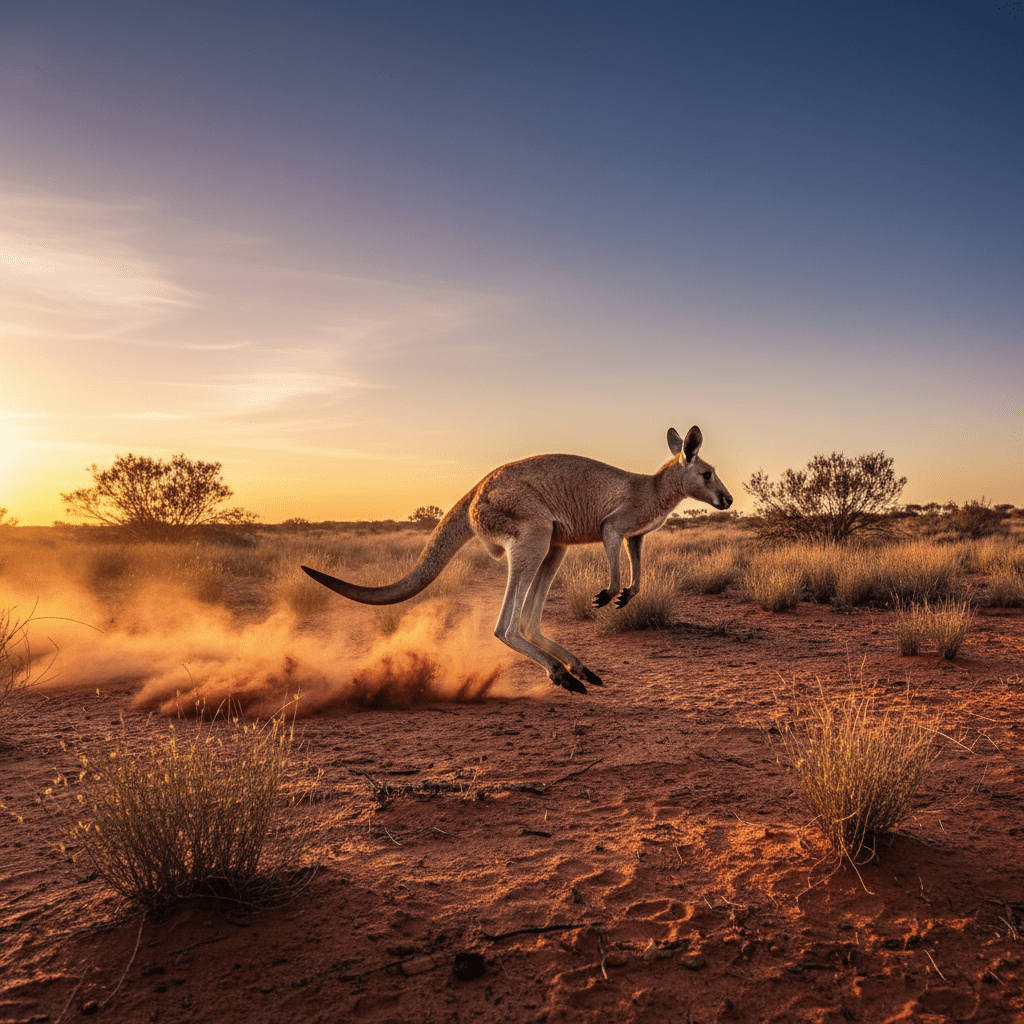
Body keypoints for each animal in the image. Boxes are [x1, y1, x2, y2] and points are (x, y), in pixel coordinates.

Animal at [302, 425, 732, 694]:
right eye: (707, 474)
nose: (728, 500)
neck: (656, 488)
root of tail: (474, 492)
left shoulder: (638, 535)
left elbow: (637, 564)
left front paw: (628, 594)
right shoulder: (615, 524)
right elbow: (612, 548)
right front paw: (609, 593)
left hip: (554, 542)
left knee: (527, 621)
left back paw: (580, 671)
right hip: (532, 528)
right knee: (504, 628)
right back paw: (563, 675)